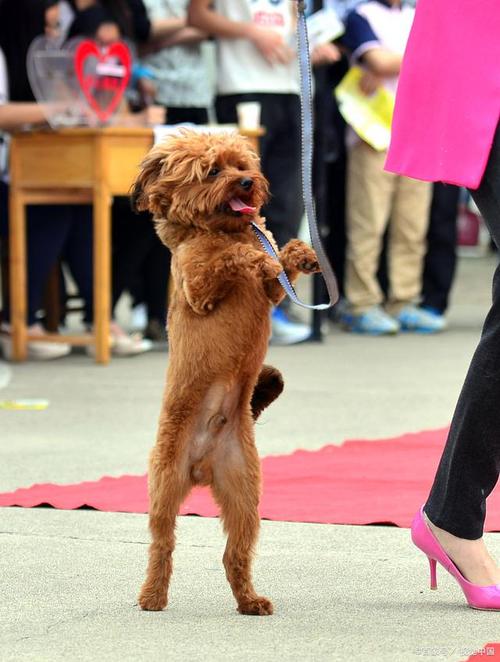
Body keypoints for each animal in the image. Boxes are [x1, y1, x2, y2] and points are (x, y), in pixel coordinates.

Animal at [132, 130, 320, 616]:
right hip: (165, 481)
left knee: (234, 552)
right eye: (213, 171)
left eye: (241, 165)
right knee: (162, 543)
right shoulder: (198, 287)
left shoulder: (273, 293)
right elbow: (232, 260)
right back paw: (152, 596)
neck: (220, 227)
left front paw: (300, 254)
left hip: (243, 492)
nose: (247, 183)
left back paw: (249, 600)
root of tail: (201, 465)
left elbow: (278, 270)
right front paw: (255, 259)